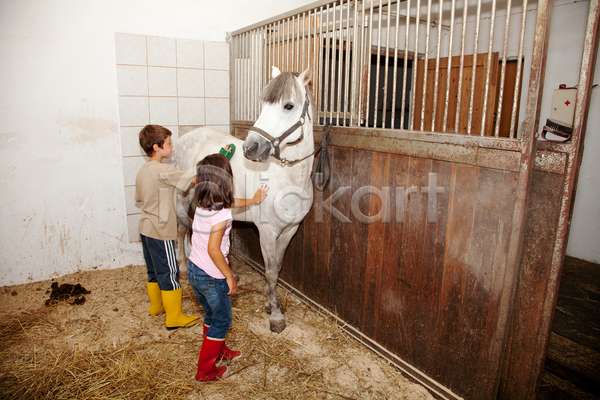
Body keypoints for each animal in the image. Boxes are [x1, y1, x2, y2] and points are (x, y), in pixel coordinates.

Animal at [171, 67, 314, 332]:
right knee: (180, 230)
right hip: (181, 199)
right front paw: (275, 315)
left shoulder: (290, 229)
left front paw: (269, 302)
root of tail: (186, 137)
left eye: (288, 105)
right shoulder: (267, 232)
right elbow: (270, 271)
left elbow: (277, 267)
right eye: (263, 104)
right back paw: (184, 268)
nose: (251, 147)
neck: (288, 179)